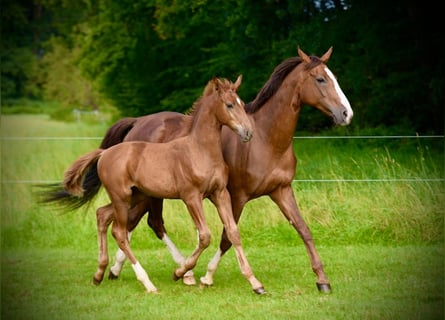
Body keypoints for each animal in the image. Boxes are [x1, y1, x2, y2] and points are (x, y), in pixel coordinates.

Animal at [40, 76, 266, 294]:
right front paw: (180, 273)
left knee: (102, 215)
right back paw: (147, 283)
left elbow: (233, 232)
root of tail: (104, 153)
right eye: (229, 105)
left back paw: (99, 273)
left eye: (242, 103)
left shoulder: (220, 194)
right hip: (122, 197)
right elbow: (204, 236)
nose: (248, 133)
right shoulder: (191, 197)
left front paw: (255, 283)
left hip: (135, 197)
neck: (200, 150)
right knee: (120, 232)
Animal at [99, 47, 352, 292]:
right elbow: (226, 237)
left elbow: (303, 229)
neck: (267, 140)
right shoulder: (237, 196)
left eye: (334, 78)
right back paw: (170, 272)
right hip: (146, 194)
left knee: (137, 222)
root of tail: (137, 122)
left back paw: (120, 270)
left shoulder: (281, 190)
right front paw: (208, 276)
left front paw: (322, 280)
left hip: (145, 194)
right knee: (145, 223)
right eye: (320, 79)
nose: (346, 114)